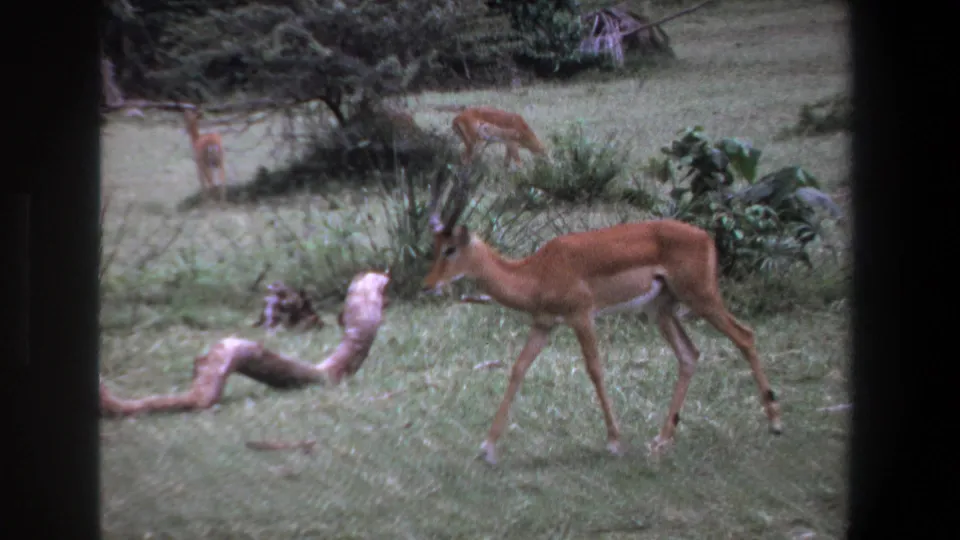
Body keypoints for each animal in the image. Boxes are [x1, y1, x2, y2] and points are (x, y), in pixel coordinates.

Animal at [421, 168, 783, 465]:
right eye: (434, 245)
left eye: (450, 249)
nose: (428, 285)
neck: (536, 272)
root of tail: (706, 236)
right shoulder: (544, 323)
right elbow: (518, 368)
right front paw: (487, 448)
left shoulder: (582, 317)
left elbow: (595, 370)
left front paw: (615, 442)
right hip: (662, 310)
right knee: (689, 355)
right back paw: (661, 440)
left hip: (702, 298)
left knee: (745, 335)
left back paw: (775, 423)